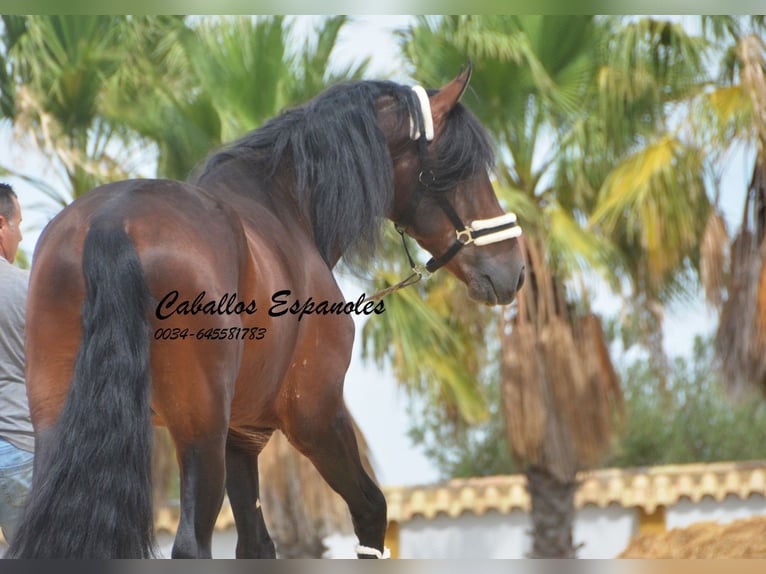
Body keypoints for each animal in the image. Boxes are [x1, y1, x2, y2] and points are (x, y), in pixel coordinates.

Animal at [6, 65, 524, 560]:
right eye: (458, 168)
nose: (513, 271)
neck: (286, 209)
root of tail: (113, 221)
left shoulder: (242, 435)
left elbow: (256, 544)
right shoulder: (315, 414)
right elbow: (371, 510)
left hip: (58, 427)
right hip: (200, 432)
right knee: (192, 544)